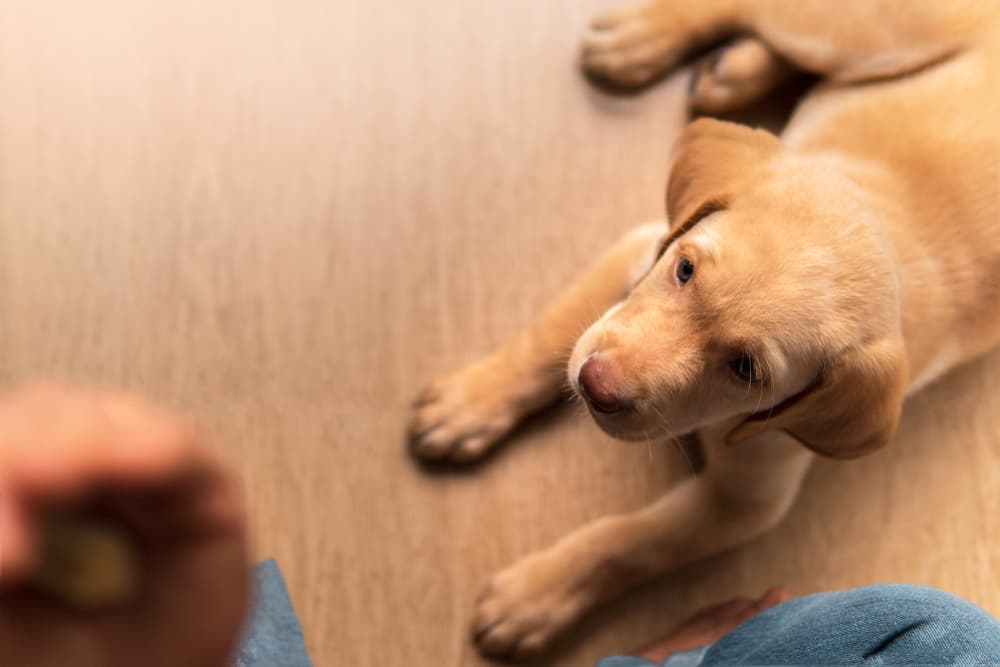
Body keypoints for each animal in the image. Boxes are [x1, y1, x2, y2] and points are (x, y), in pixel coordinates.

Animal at [406, 0, 1000, 656]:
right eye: (684, 269)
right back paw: (645, 40)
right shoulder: (641, 250)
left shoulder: (743, 499)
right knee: (765, 13)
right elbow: (545, 340)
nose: (593, 385)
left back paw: (730, 70)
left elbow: (628, 543)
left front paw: (535, 597)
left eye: (747, 370)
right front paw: (469, 403)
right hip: (860, 33)